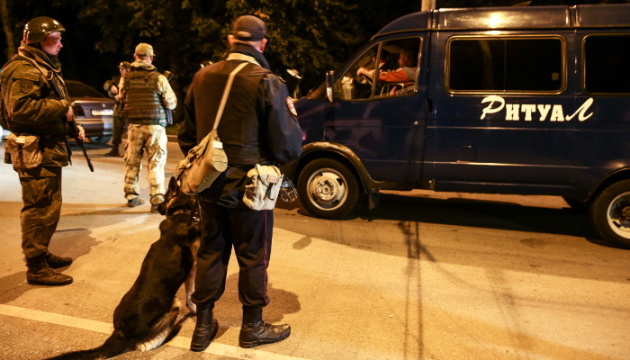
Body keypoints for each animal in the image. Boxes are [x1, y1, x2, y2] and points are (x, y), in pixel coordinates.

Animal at [47, 179, 200, 358]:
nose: (158, 208)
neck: (178, 214)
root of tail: (120, 334)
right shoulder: (192, 270)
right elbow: (190, 295)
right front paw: (194, 309)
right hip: (173, 304)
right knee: (146, 345)